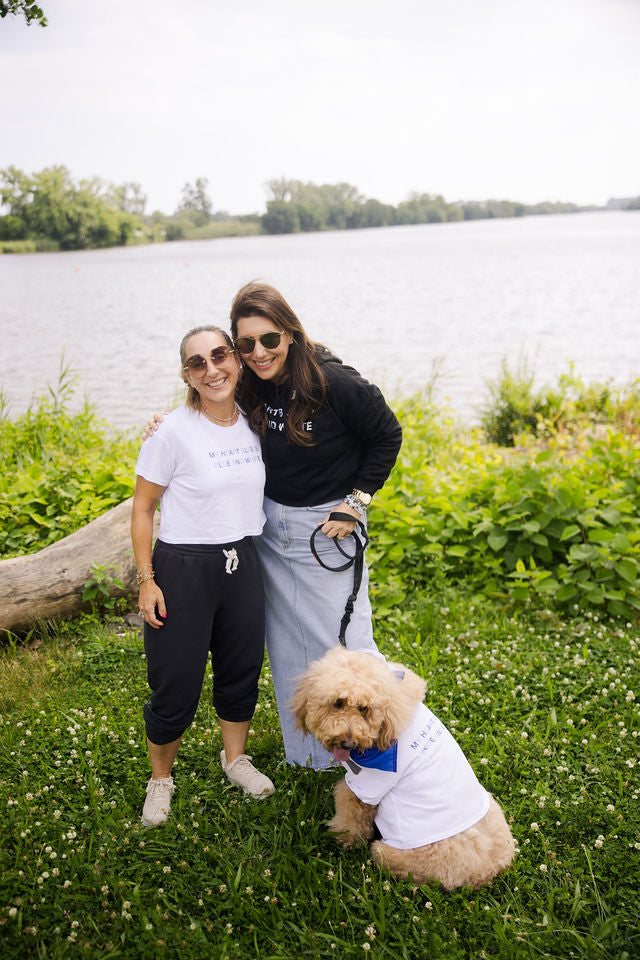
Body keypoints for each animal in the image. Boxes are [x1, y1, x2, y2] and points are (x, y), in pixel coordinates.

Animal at [290, 644, 516, 892]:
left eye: (364, 708)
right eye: (338, 703)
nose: (348, 743)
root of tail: (488, 871)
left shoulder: (368, 786)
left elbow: (347, 805)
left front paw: (343, 837)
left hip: (390, 853)